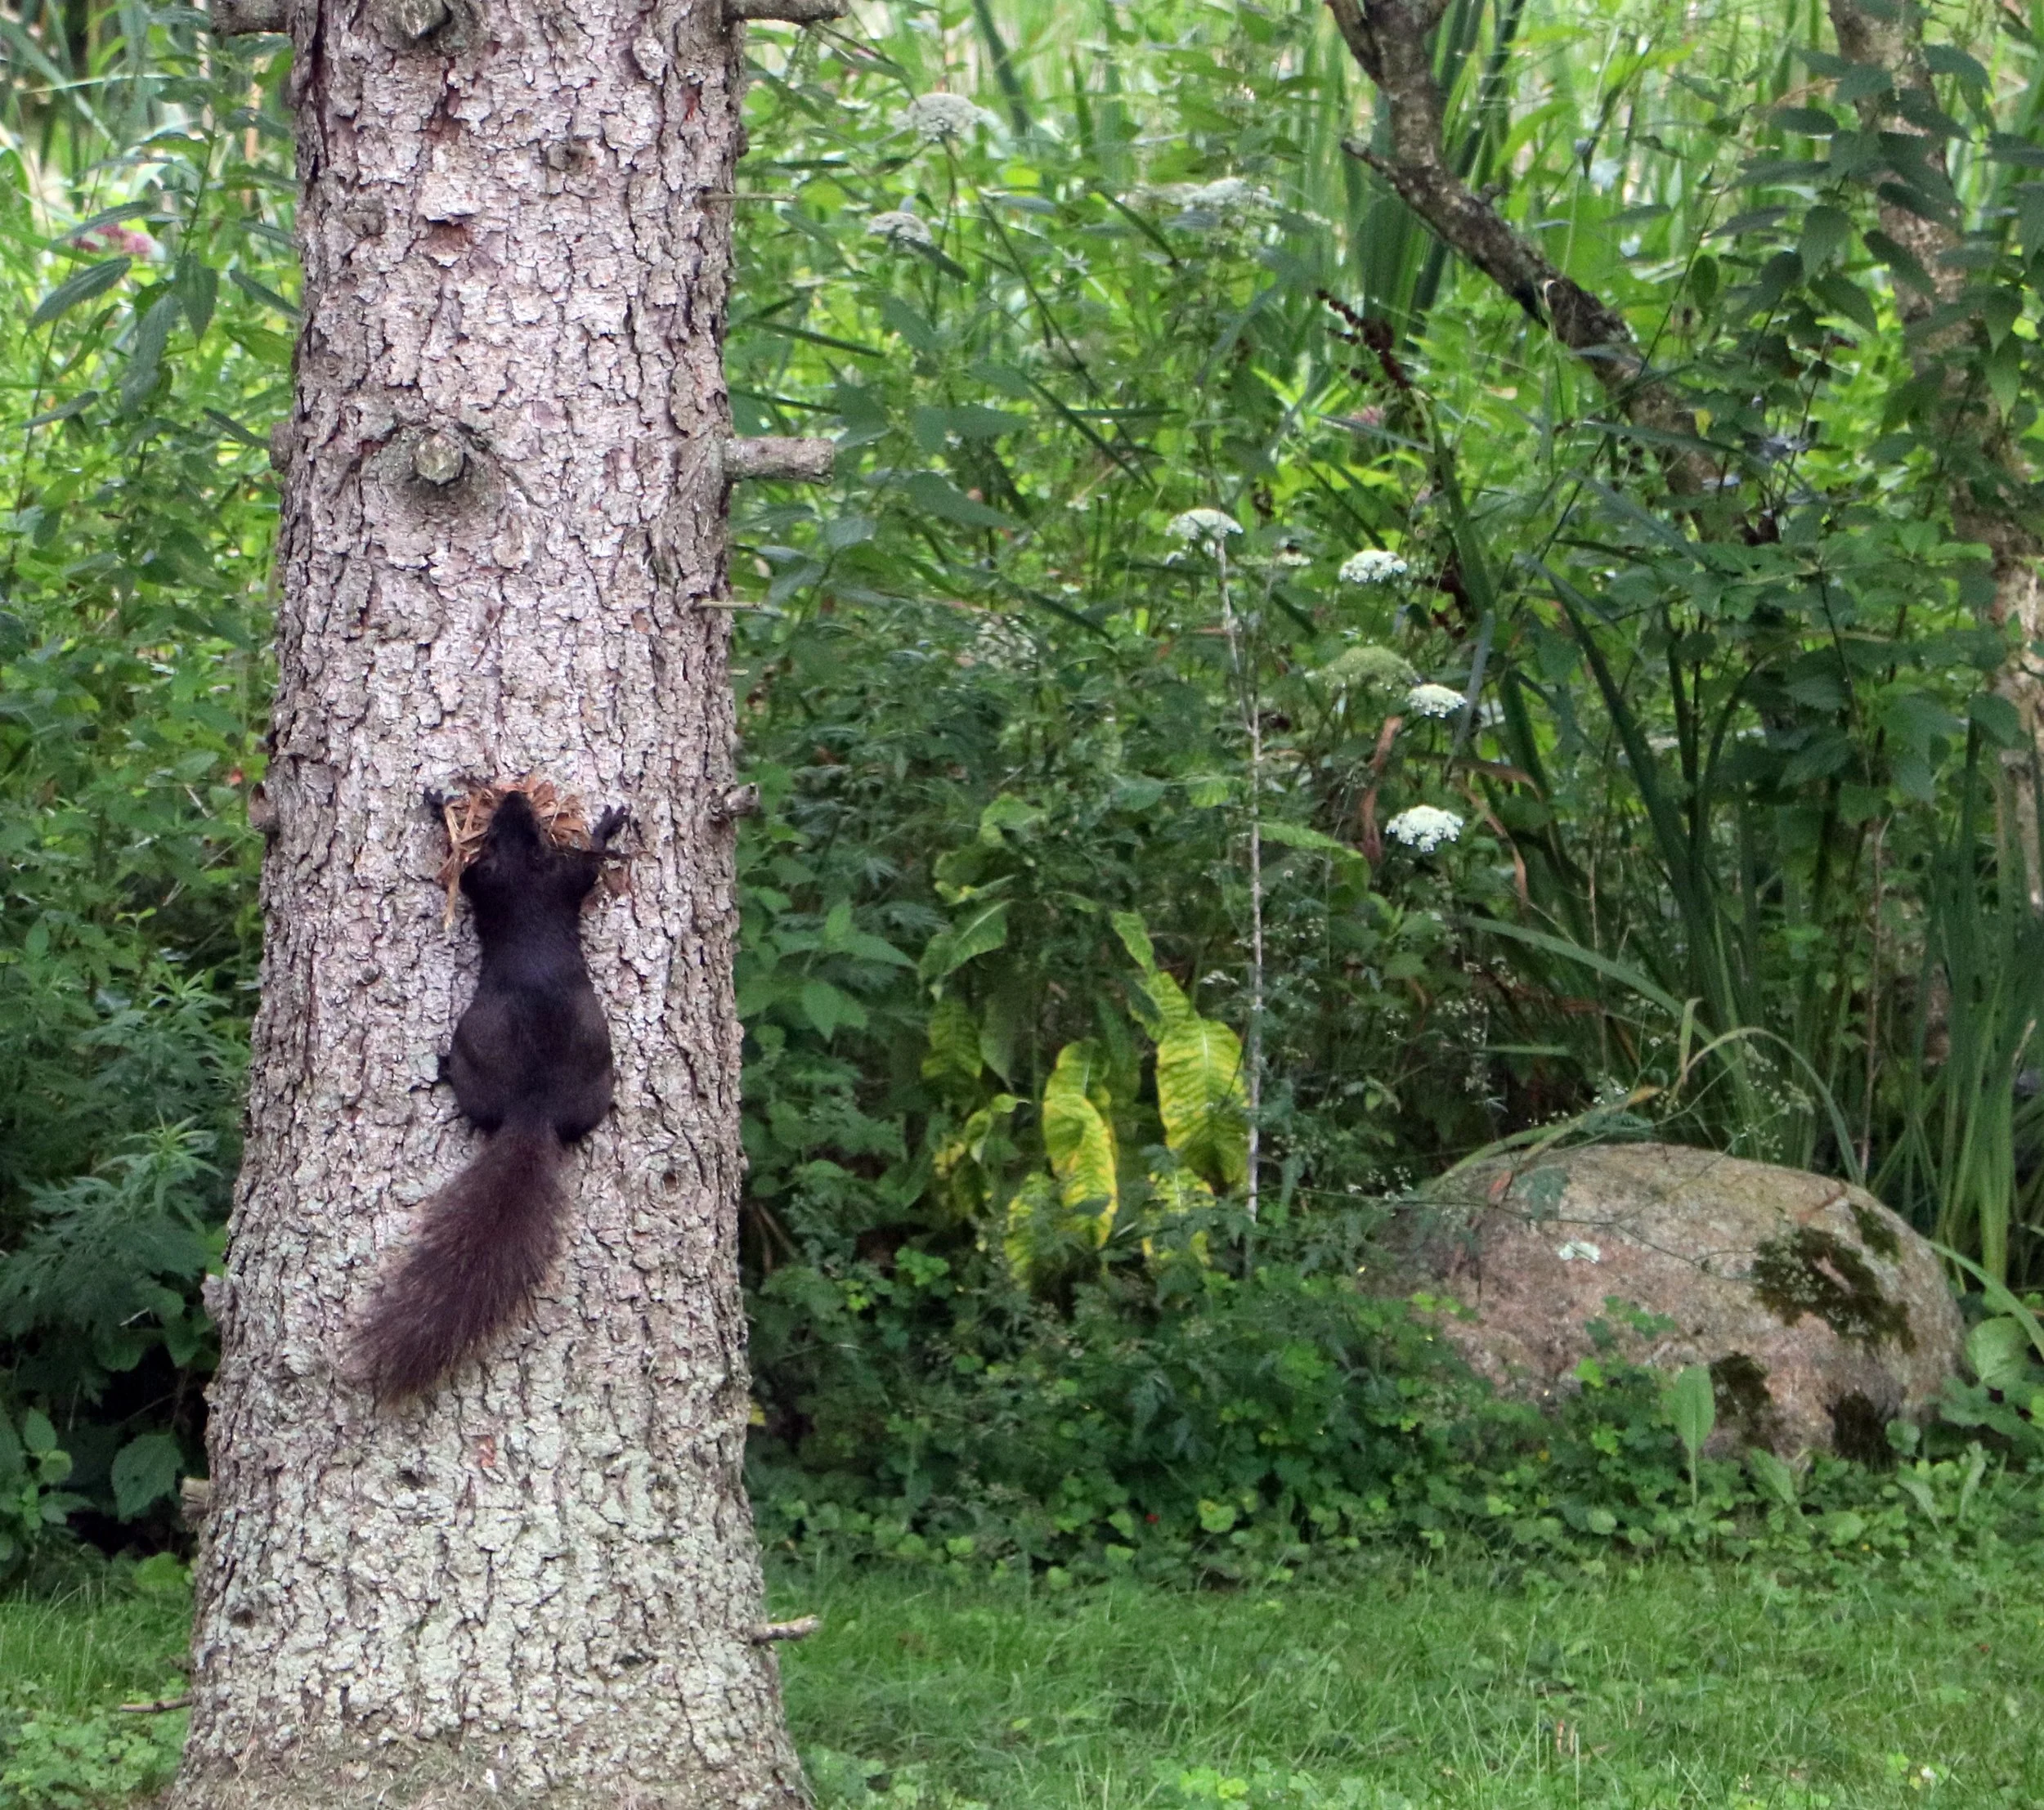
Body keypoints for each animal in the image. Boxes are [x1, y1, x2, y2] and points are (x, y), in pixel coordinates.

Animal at [353, 787, 628, 1400]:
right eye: (513, 816)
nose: (517, 794)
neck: (524, 864)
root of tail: (534, 1106)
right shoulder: (561, 877)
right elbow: (589, 868)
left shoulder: (488, 879)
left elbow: (465, 870)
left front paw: (440, 813)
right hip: (596, 1075)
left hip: (473, 1050)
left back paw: (442, 1067)